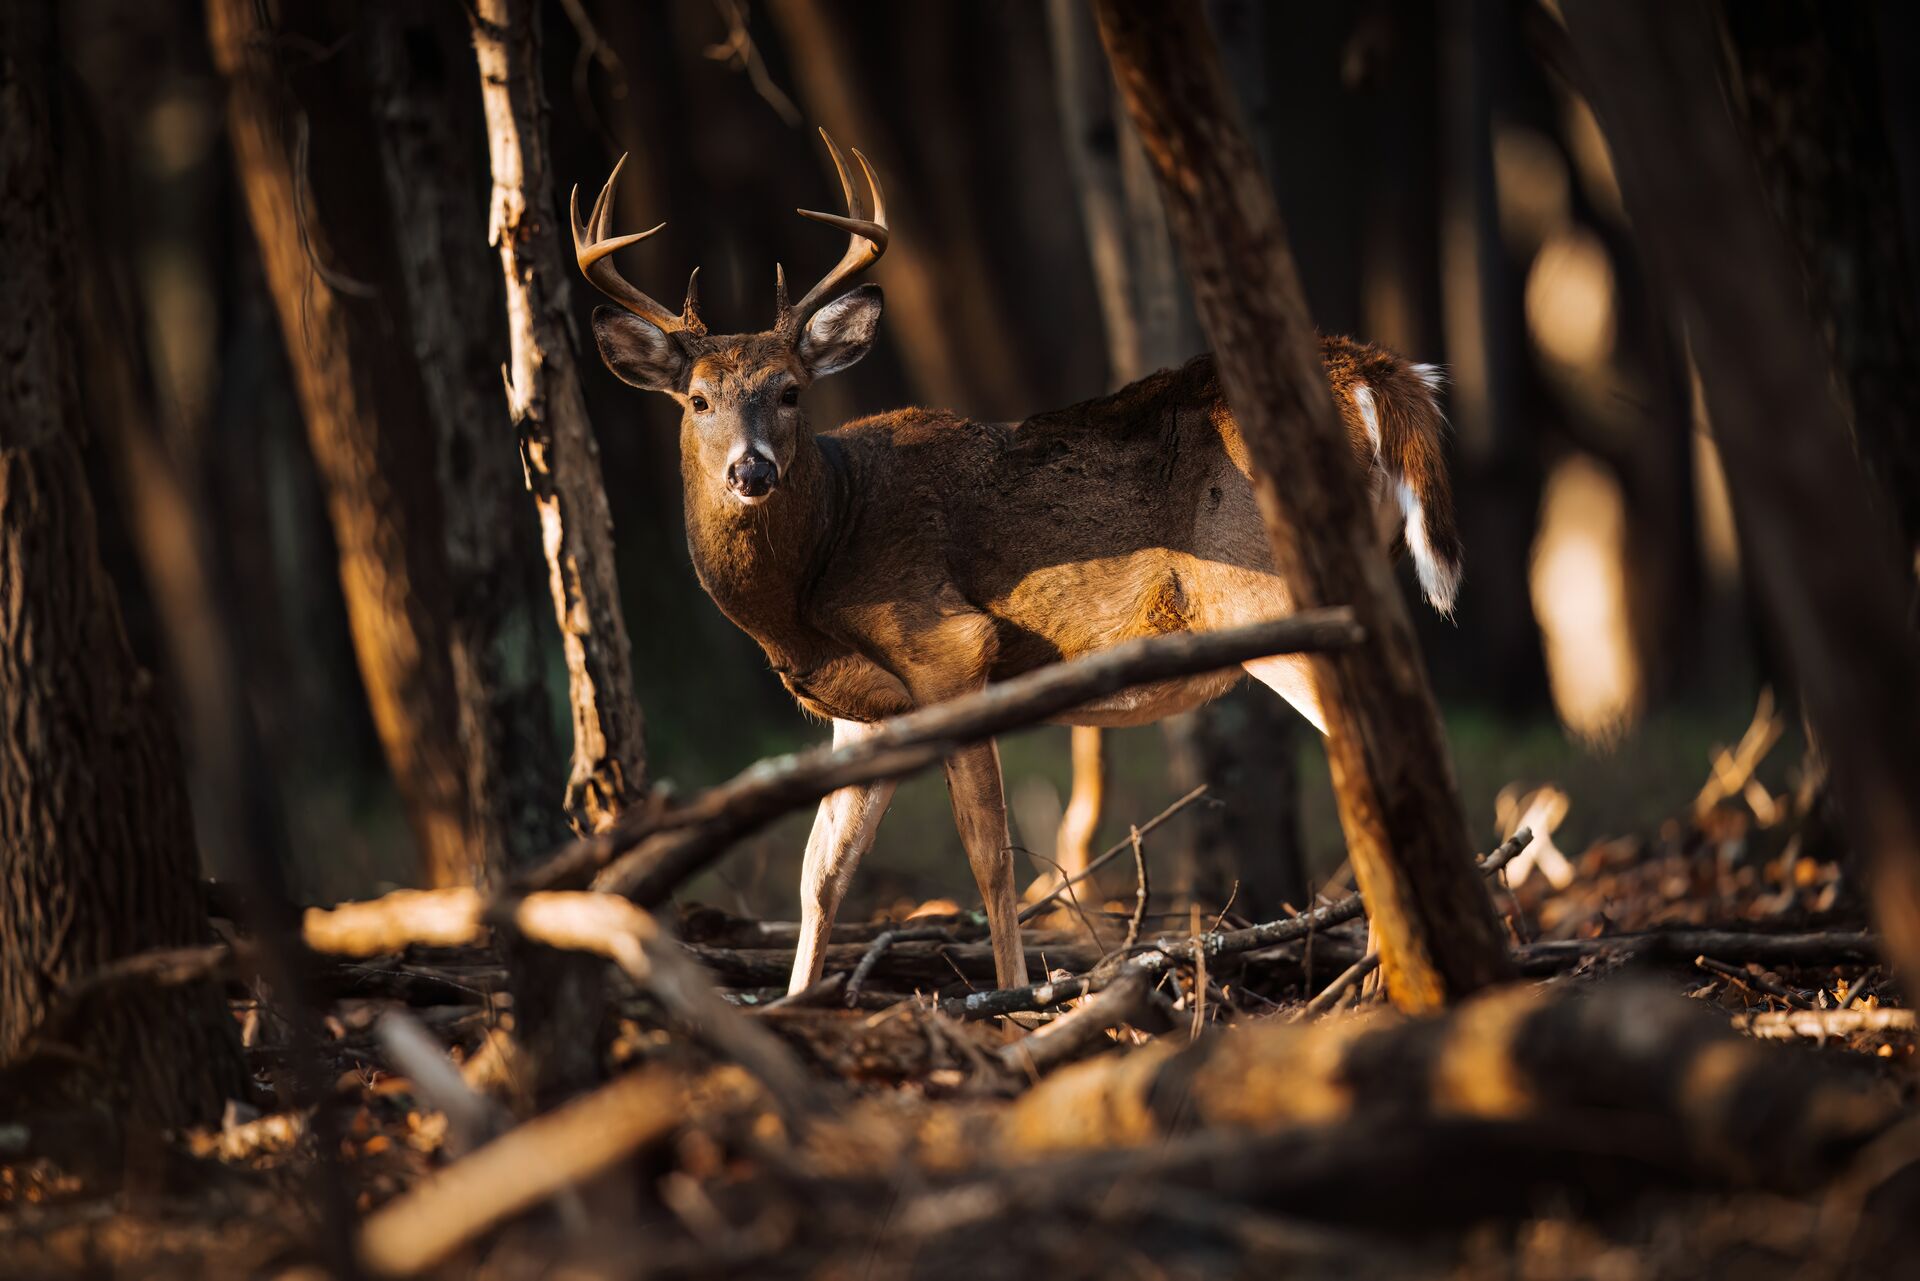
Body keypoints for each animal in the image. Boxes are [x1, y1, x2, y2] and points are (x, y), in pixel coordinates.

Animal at [574, 132, 1462, 997]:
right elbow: (821, 872)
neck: (820, 562)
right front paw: (795, 1006)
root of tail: (1373, 370)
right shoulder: (868, 713)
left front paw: (1011, 999)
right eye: (697, 400)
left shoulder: (950, 649)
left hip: (1269, 598)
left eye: (791, 391)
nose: (750, 471)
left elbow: (989, 858)